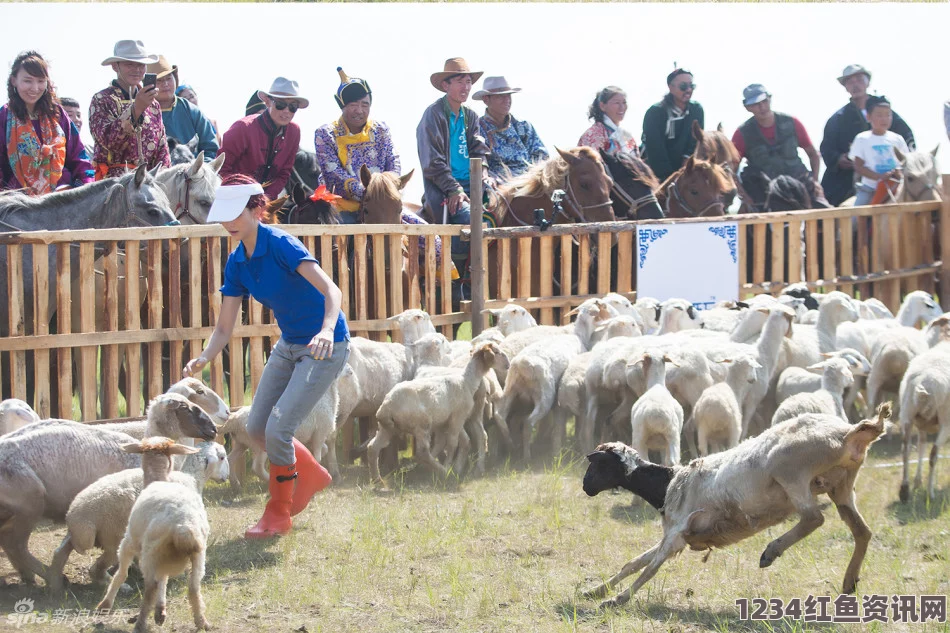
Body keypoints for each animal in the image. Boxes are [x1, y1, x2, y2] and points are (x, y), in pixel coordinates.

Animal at [0, 392, 216, 584]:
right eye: (184, 407)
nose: (213, 429)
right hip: (30, 502)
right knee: (15, 544)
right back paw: (47, 577)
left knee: (9, 542)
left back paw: (31, 576)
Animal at [48, 436, 229, 596]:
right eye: (222, 457)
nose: (226, 477)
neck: (192, 478)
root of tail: (78, 518)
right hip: (112, 537)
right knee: (96, 569)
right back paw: (120, 586)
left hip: (77, 535)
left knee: (60, 553)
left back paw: (56, 586)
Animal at [97, 436, 213, 628]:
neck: (157, 478)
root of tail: (184, 526)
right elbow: (164, 578)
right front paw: (160, 611)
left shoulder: (128, 542)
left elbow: (121, 574)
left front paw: (105, 605)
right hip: (198, 556)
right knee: (194, 588)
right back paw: (201, 622)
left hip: (149, 553)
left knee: (150, 587)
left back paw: (140, 623)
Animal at [368, 344, 510, 482]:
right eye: (496, 352)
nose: (508, 364)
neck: (467, 381)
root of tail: (387, 406)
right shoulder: (458, 417)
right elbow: (452, 443)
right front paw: (448, 467)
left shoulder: (443, 423)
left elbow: (445, 443)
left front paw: (449, 465)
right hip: (421, 425)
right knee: (422, 453)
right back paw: (443, 472)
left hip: (387, 428)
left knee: (373, 447)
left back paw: (377, 480)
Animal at [580, 404, 892, 608]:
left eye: (596, 464)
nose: (585, 487)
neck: (667, 484)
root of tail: (848, 433)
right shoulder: (677, 535)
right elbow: (634, 562)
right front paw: (596, 590)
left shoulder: (677, 533)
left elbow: (650, 568)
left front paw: (616, 599)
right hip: (841, 486)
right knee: (862, 531)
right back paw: (849, 582)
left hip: (791, 473)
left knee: (814, 518)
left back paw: (771, 552)